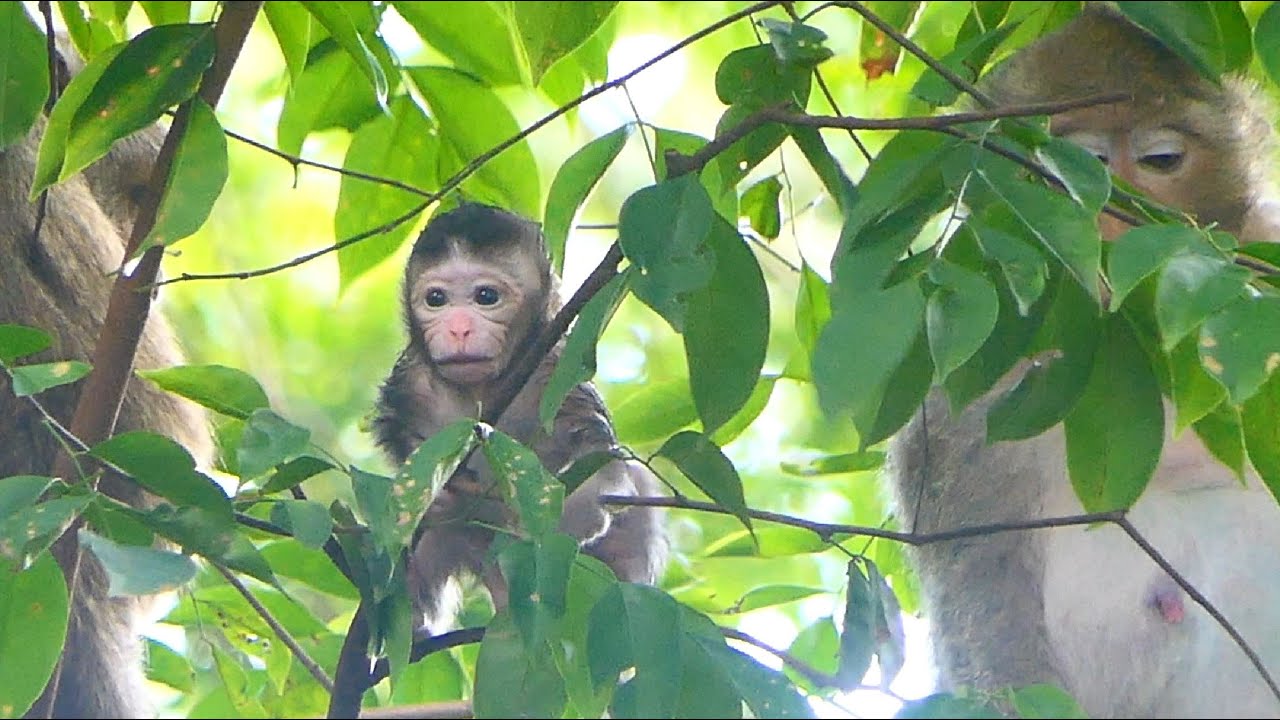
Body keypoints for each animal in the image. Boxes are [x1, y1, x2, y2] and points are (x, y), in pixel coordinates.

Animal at [372, 202, 667, 631]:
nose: (458, 329)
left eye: (486, 296)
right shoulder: (410, 382)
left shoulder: (557, 376)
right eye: (436, 299)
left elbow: (597, 473)